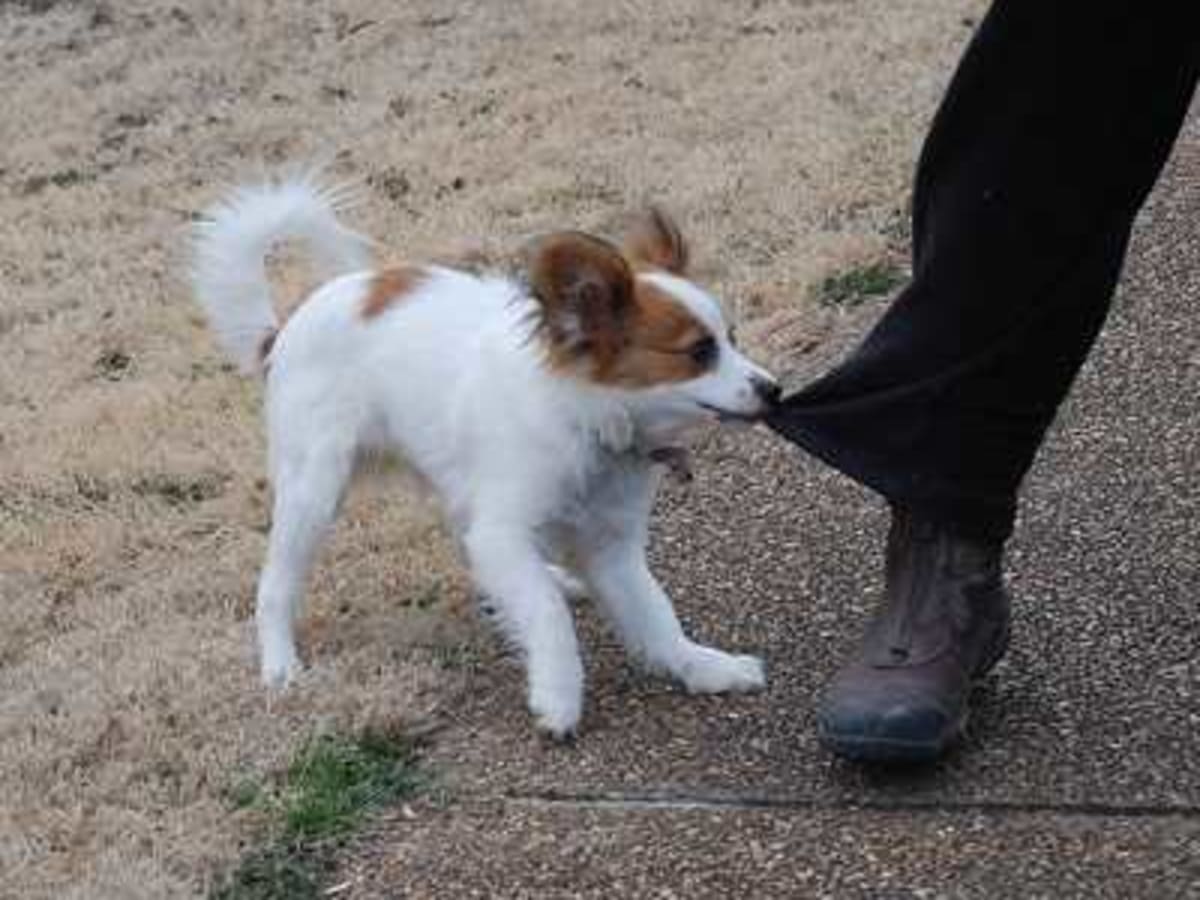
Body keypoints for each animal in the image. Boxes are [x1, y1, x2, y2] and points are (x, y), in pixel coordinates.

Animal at [189, 176, 777, 739]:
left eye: (733, 338)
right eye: (699, 353)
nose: (774, 390)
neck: (586, 423)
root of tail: (281, 331)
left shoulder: (612, 545)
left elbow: (656, 614)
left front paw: (703, 667)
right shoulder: (504, 530)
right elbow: (547, 613)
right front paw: (559, 696)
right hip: (316, 487)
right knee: (275, 585)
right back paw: (280, 665)